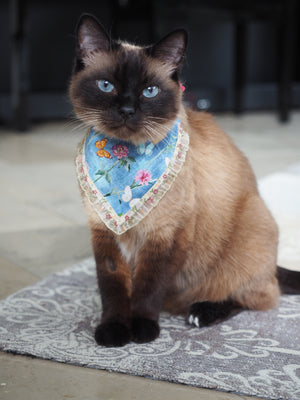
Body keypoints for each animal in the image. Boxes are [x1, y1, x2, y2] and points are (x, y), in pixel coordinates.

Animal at [68, 14, 300, 346]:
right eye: (106, 86)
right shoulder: (104, 233)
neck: (125, 158)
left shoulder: (166, 235)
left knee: (255, 297)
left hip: (251, 228)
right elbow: (112, 288)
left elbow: (148, 287)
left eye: (150, 91)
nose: (127, 110)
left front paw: (142, 330)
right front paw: (113, 332)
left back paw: (201, 313)